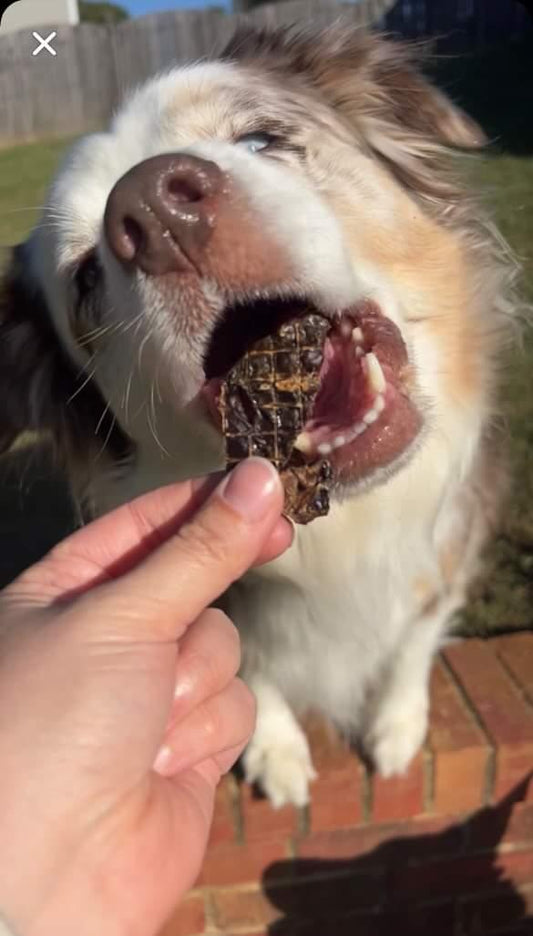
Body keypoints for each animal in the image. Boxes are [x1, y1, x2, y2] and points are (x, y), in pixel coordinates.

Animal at [1, 25, 516, 808]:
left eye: (260, 139)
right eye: (86, 278)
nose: (155, 211)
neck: (351, 533)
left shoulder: (453, 544)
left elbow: (414, 637)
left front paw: (398, 724)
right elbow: (253, 666)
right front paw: (275, 750)